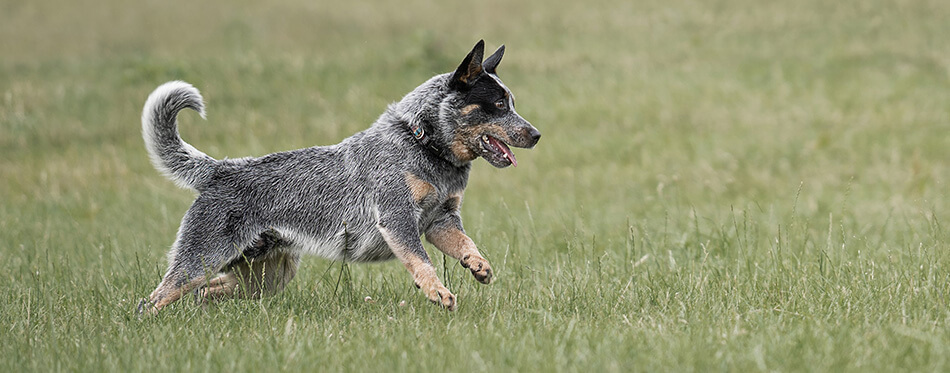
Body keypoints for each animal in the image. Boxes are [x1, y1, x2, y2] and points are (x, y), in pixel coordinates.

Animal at [139, 40, 544, 312]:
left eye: (513, 104)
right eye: (498, 105)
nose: (537, 134)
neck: (425, 144)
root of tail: (219, 169)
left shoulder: (441, 220)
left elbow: (465, 243)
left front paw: (479, 265)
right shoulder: (397, 219)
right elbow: (421, 261)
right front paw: (438, 293)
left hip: (269, 275)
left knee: (204, 292)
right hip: (202, 258)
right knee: (155, 298)